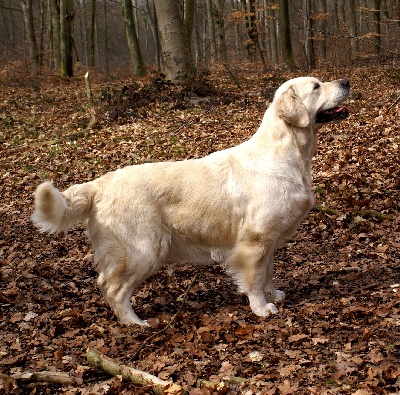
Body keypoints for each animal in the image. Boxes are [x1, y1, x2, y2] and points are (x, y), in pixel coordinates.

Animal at [32, 76, 350, 326]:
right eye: (316, 86)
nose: (346, 82)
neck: (287, 153)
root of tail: (100, 183)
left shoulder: (268, 239)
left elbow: (268, 272)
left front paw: (274, 294)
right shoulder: (256, 239)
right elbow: (255, 277)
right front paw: (261, 307)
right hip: (145, 249)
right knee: (113, 289)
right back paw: (135, 323)